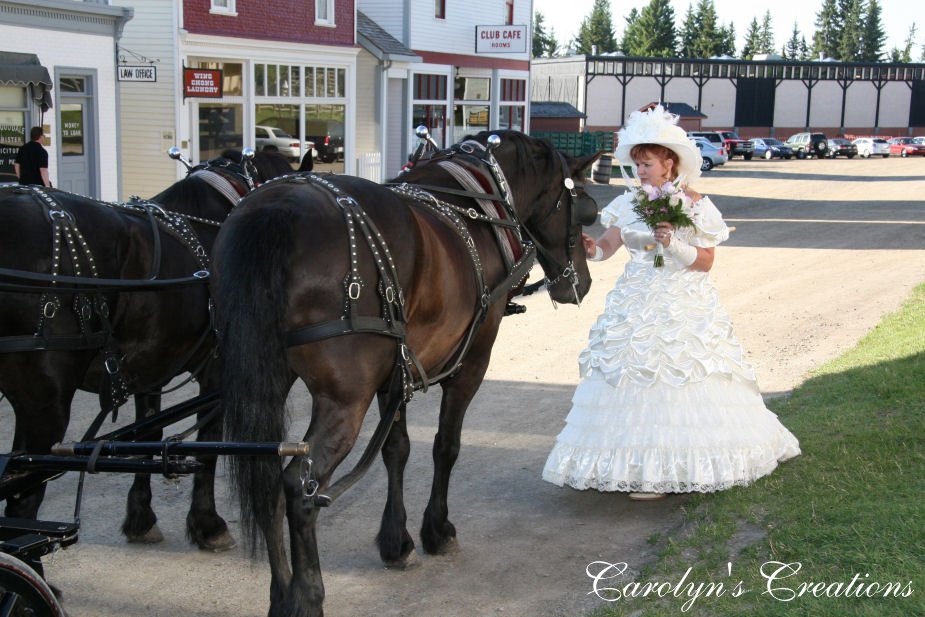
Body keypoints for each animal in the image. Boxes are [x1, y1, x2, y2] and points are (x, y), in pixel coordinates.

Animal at [0, 150, 290, 552]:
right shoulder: (216, 368)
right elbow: (209, 443)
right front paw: (209, 524)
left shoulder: (150, 365)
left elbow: (145, 438)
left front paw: (140, 518)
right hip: (44, 404)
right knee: (23, 494)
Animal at [211, 131, 600, 616]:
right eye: (584, 210)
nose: (581, 283)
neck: (480, 202)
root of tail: (278, 210)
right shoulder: (473, 361)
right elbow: (446, 446)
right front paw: (437, 530)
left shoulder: (393, 372)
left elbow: (396, 450)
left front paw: (397, 542)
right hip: (345, 399)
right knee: (301, 487)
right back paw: (306, 595)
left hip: (268, 382)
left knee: (266, 479)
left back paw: (281, 593)